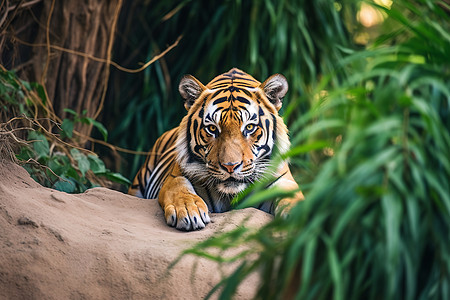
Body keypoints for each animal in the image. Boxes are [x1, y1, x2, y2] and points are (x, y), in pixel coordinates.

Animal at [130, 68, 306, 231]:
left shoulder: (283, 179)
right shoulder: (174, 177)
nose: (230, 166)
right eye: (212, 128)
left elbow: (291, 196)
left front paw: (299, 214)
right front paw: (188, 211)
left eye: (249, 127)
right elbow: (179, 188)